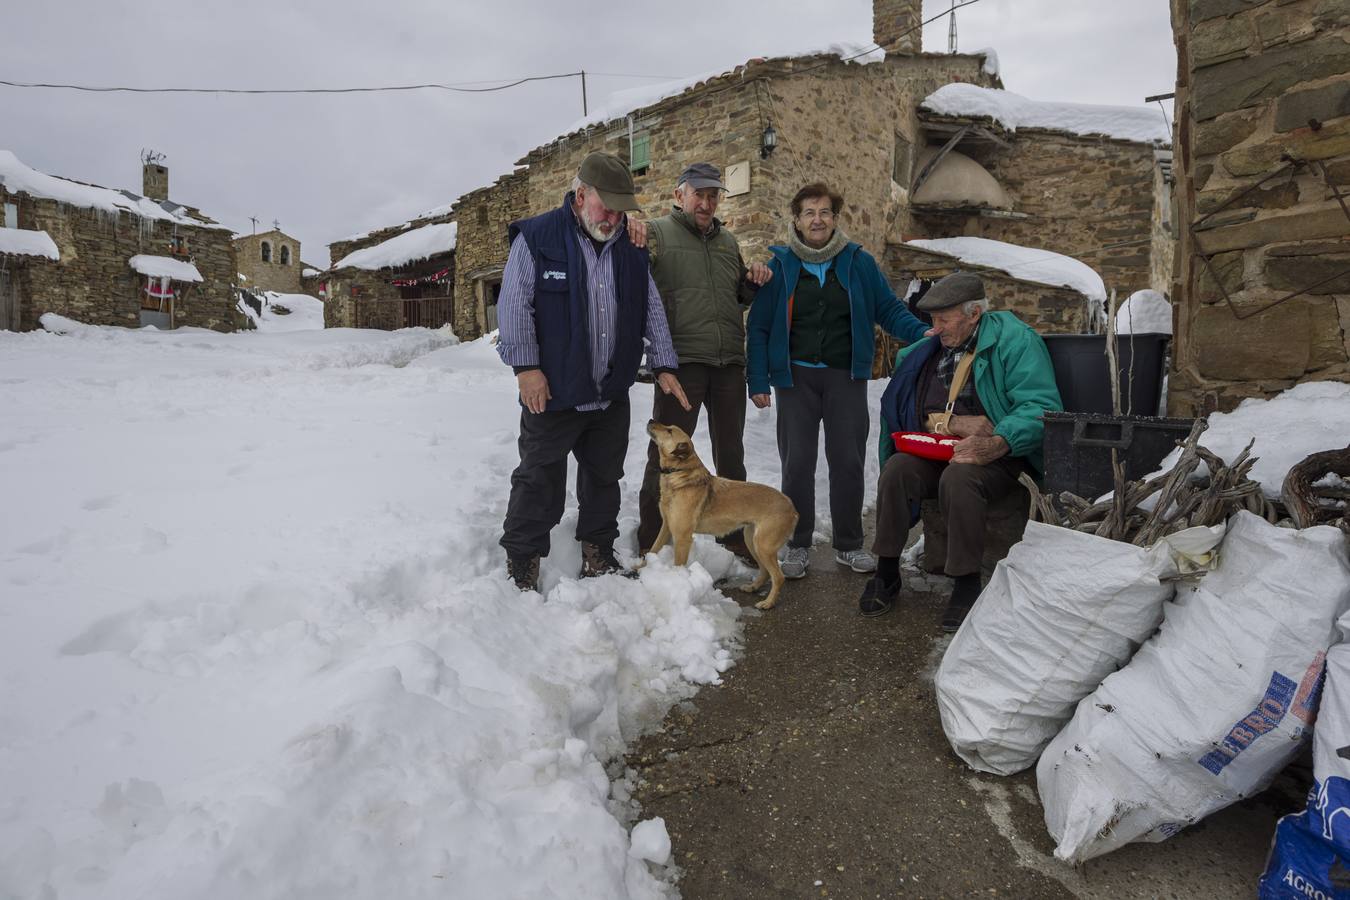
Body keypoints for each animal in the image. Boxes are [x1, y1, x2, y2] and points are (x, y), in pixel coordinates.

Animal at [639, 423, 793, 612]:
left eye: (669, 431)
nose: (650, 421)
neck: (680, 473)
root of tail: (792, 507)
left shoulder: (682, 536)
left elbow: (678, 563)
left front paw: (679, 582)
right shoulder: (666, 526)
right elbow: (653, 548)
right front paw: (640, 568)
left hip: (763, 546)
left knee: (778, 577)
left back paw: (768, 603)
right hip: (752, 540)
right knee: (765, 571)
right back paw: (753, 587)